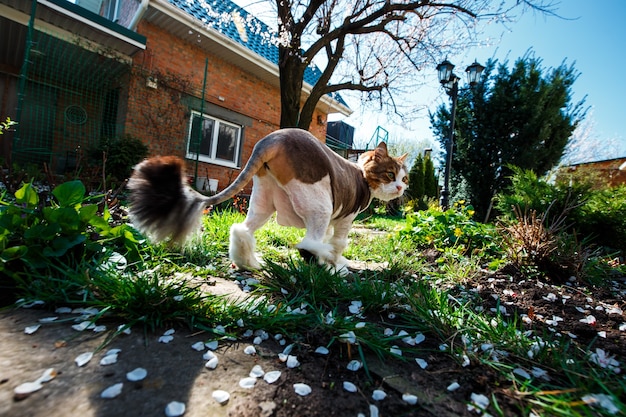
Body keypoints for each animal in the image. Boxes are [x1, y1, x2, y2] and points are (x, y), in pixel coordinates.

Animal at [129, 128, 408, 274]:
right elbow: (338, 244)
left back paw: (248, 263)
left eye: (405, 178)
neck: (361, 174)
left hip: (263, 201)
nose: (400, 187)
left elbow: (333, 242)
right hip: (318, 205)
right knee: (308, 242)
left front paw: (337, 262)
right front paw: (337, 264)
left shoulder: (334, 218)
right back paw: (319, 261)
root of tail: (274, 137)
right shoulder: (343, 219)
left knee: (242, 229)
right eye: (390, 174)